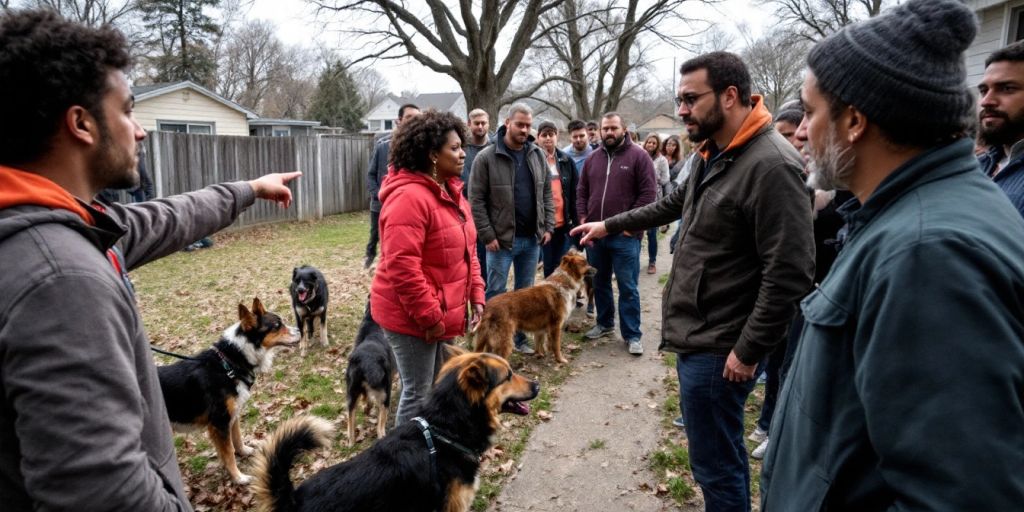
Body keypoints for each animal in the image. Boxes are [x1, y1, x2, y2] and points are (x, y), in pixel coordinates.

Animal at [157, 299, 299, 481]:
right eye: (277, 326)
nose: (300, 330)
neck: (229, 364)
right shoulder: (220, 423)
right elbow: (229, 453)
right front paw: (239, 478)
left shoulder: (233, 416)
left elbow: (237, 439)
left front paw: (245, 452)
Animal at [344, 301, 391, 446]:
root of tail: (367, 360)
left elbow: (366, 397)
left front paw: (366, 408)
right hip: (385, 394)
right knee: (381, 424)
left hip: (351, 394)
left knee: (350, 419)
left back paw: (351, 442)